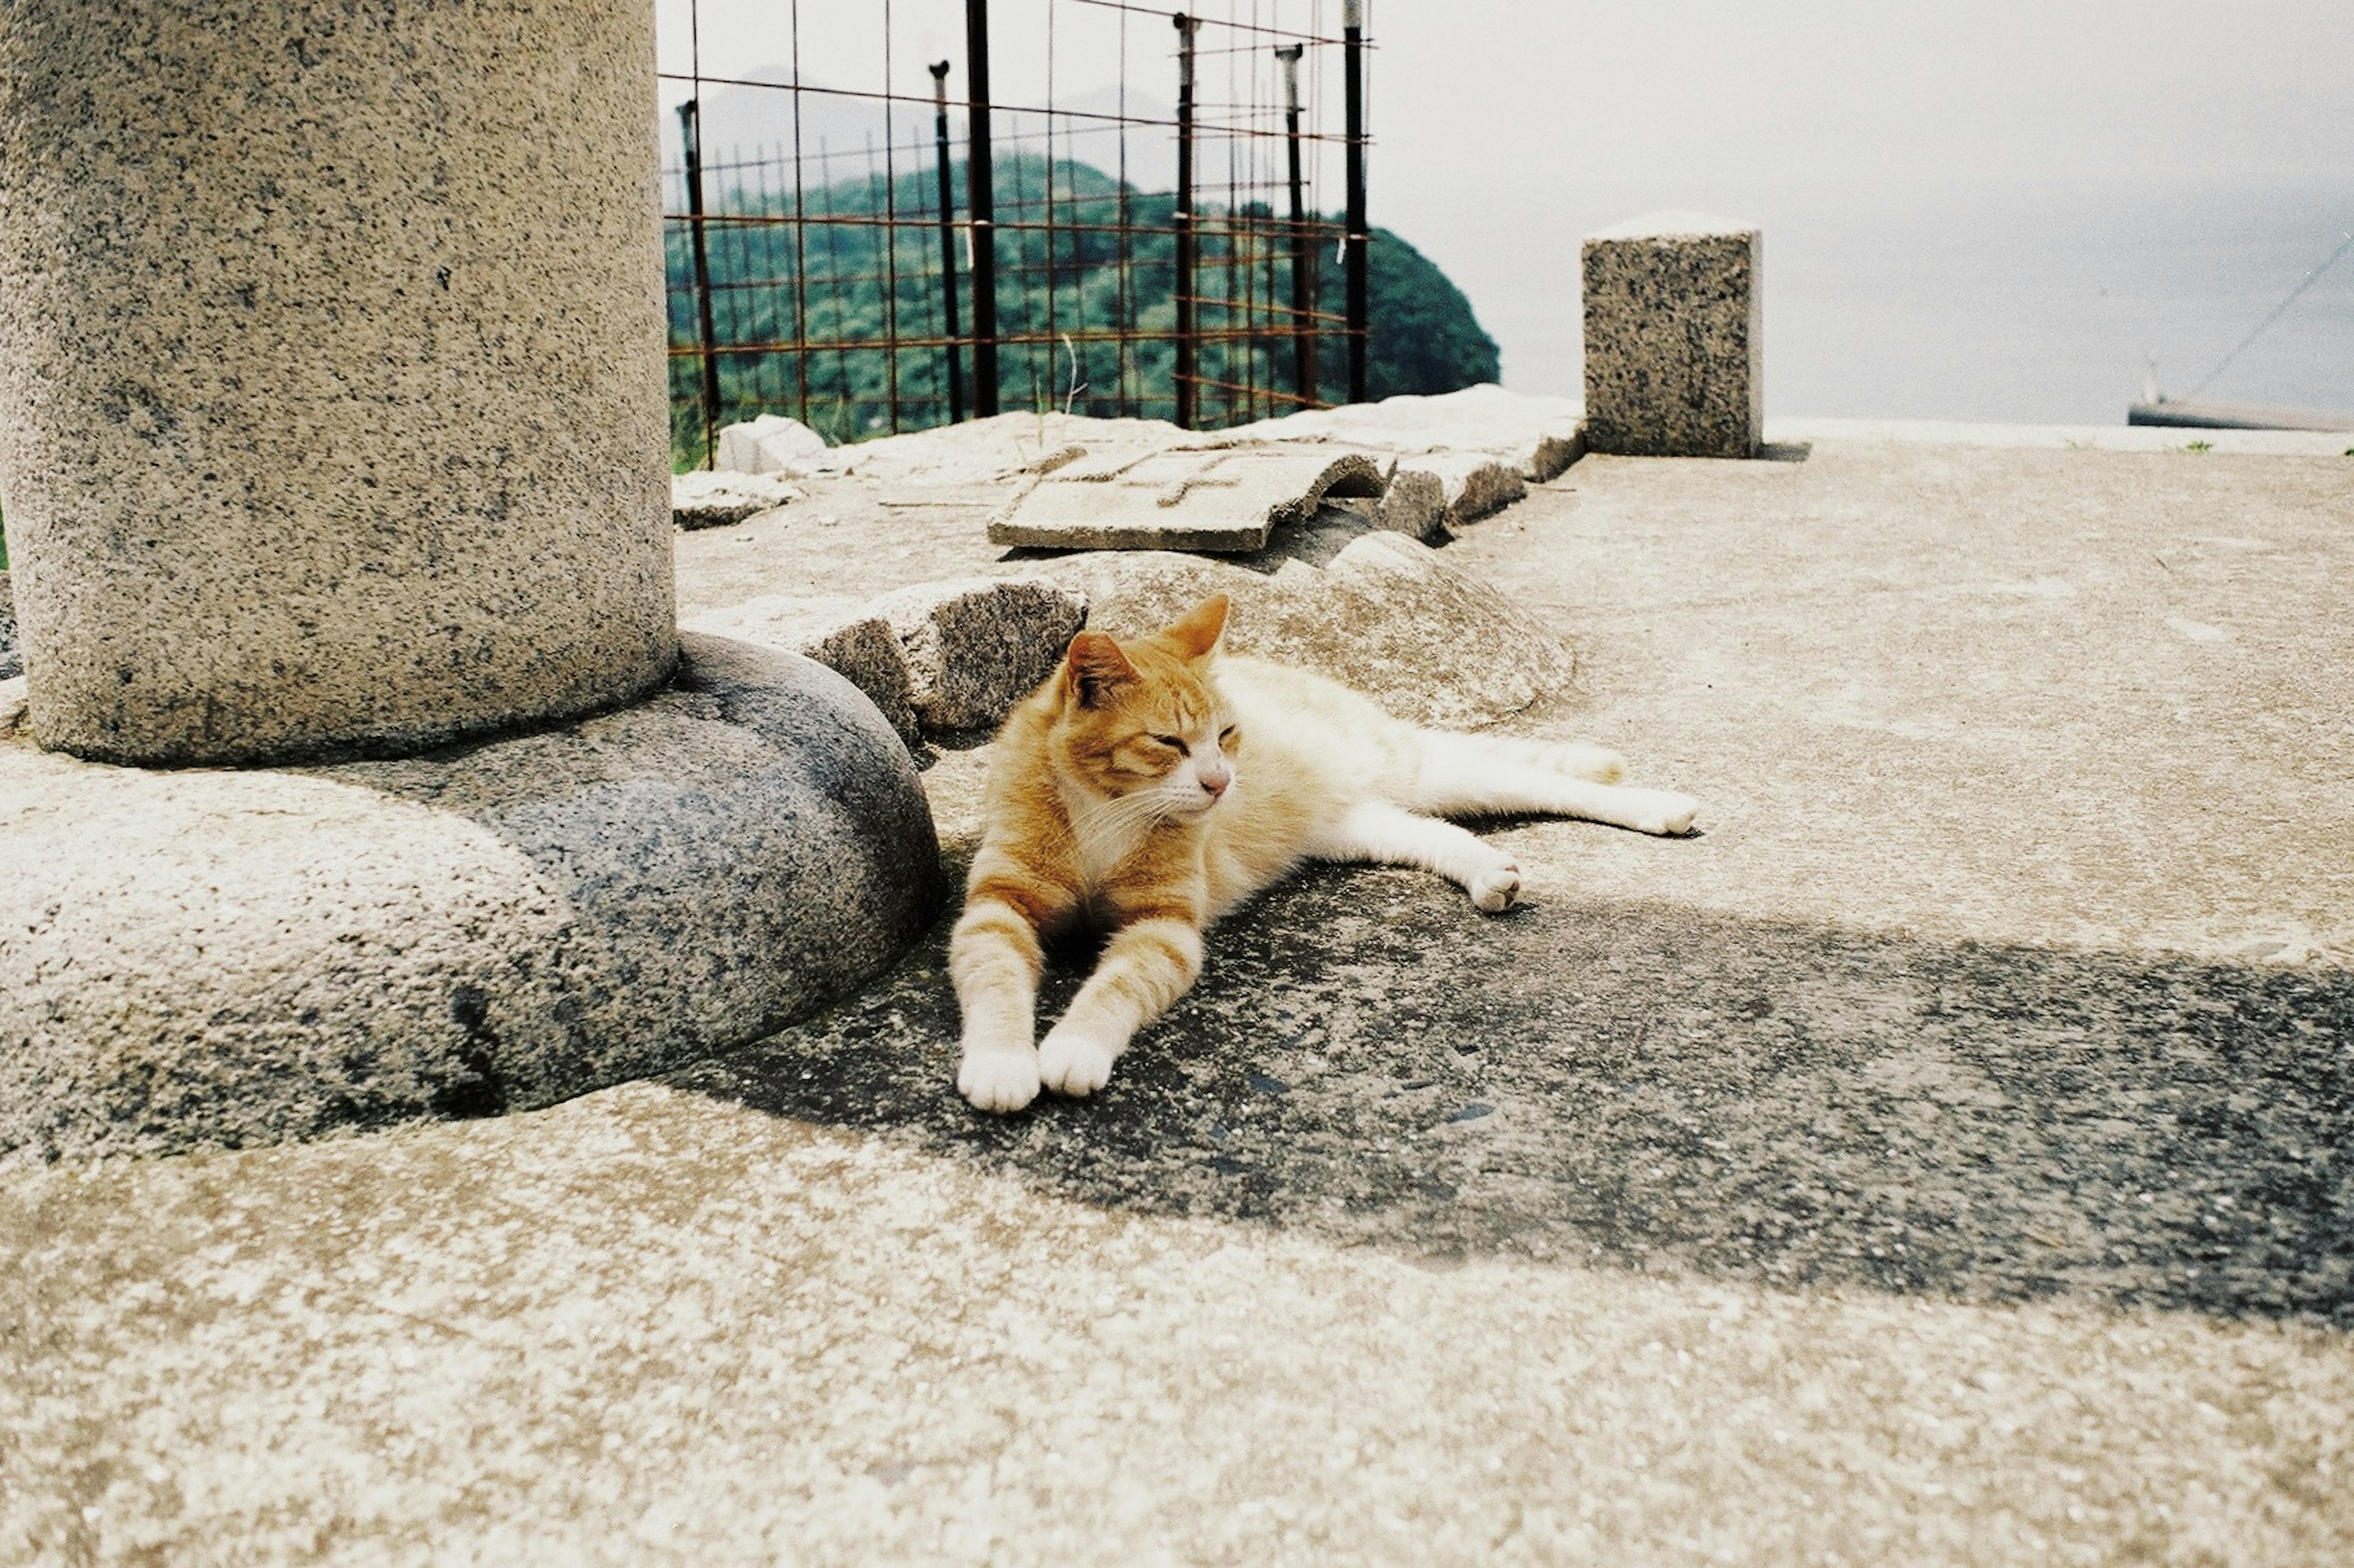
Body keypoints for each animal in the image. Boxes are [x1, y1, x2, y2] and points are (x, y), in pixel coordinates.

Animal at [946, 588, 1704, 1111]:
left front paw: (1073, 1048)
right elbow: (995, 980)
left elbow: (1114, 988)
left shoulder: (1163, 926)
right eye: (1168, 742)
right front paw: (1002, 1061)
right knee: (1439, 834)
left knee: (1538, 780)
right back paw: (1492, 871)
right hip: (1357, 824)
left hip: (1430, 771)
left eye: (1226, 735)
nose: (1221, 783)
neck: (1107, 812)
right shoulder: (999, 906)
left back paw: (1655, 805)